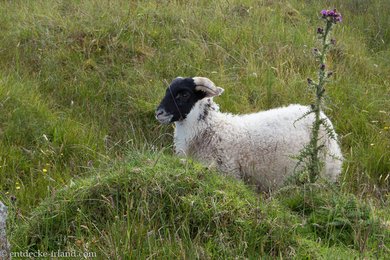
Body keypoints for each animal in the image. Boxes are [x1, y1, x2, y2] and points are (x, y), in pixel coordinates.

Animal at [154, 76, 342, 190]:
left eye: (184, 94)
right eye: (167, 91)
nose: (159, 113)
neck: (212, 129)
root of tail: (322, 117)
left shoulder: (229, 173)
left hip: (326, 172)